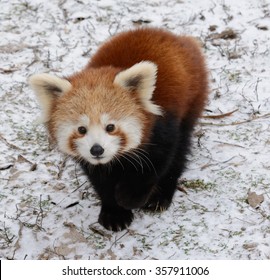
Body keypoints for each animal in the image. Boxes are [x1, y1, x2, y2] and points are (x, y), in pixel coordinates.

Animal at [28, 27, 208, 231]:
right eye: (82, 129)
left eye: (110, 127)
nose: (97, 150)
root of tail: (177, 37)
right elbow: (101, 181)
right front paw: (114, 212)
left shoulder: (162, 127)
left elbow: (157, 163)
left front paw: (130, 197)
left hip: (192, 99)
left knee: (180, 151)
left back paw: (161, 196)